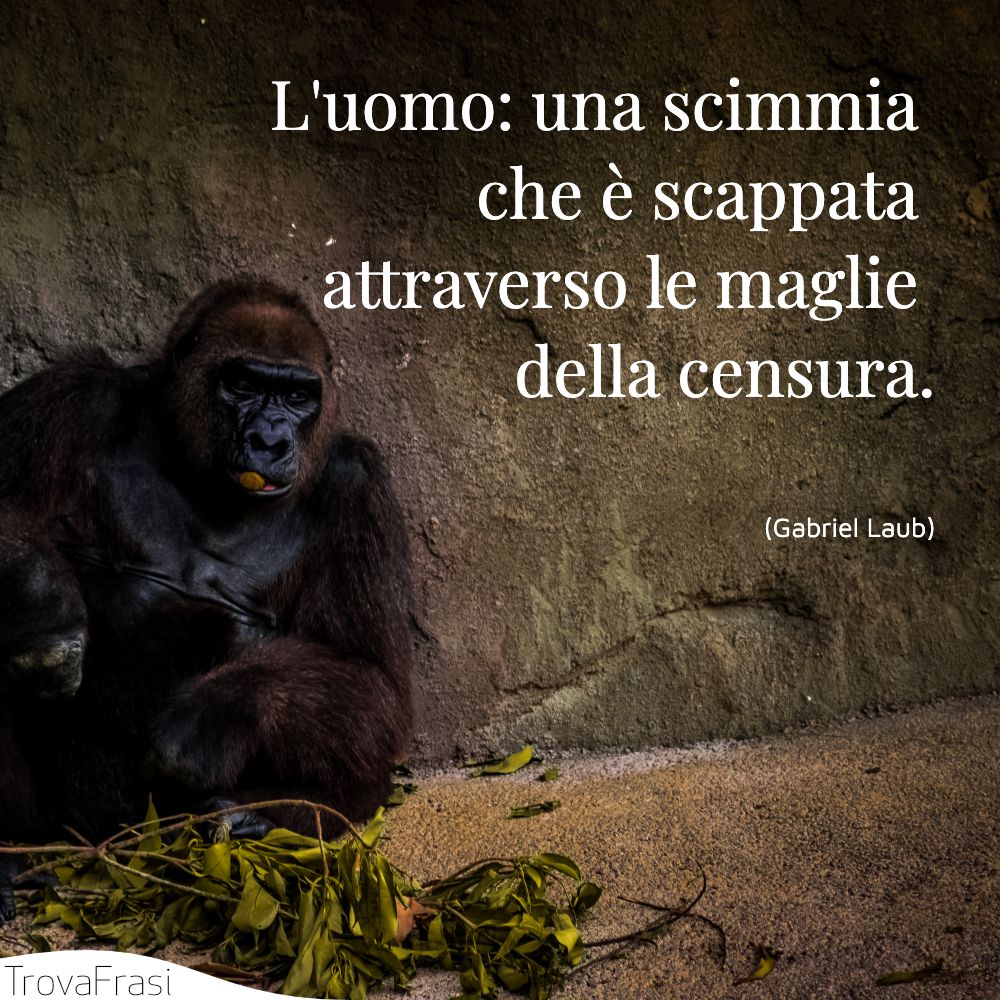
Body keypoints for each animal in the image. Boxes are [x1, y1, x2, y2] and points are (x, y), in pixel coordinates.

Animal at [0, 277, 413, 920]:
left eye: (297, 396)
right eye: (241, 384)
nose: (269, 440)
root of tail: (112, 847)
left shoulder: (357, 485)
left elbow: (374, 679)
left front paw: (216, 716)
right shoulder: (77, 396)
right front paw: (48, 609)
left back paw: (258, 820)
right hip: (70, 828)